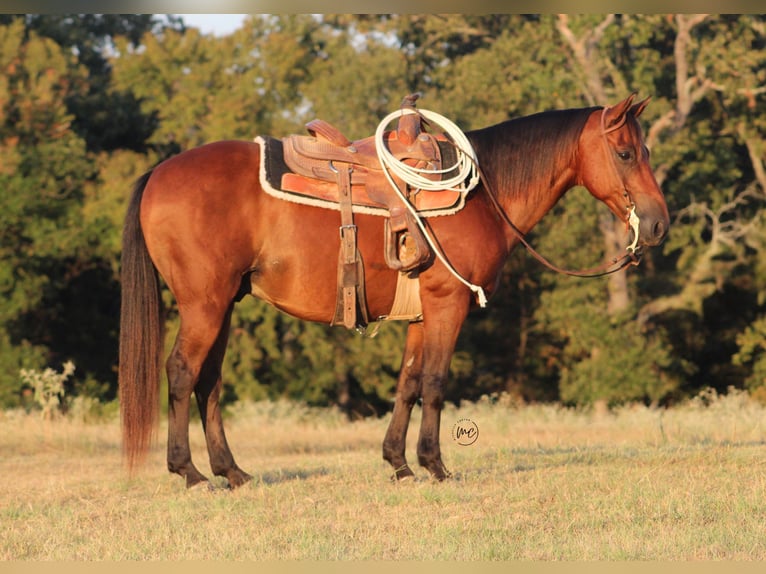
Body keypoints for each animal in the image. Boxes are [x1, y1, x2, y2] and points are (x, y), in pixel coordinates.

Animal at [119, 93, 669, 489]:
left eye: (644, 151)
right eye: (625, 153)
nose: (659, 224)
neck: (481, 194)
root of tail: (158, 173)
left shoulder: (423, 314)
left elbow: (408, 383)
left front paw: (399, 464)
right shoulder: (449, 304)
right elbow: (435, 382)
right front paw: (436, 466)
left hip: (224, 306)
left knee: (209, 382)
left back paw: (231, 472)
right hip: (204, 305)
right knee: (182, 373)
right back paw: (189, 473)